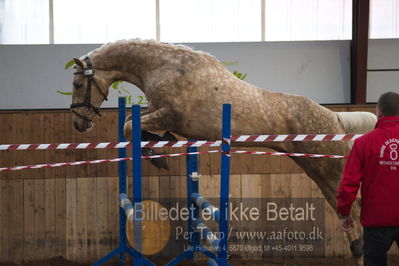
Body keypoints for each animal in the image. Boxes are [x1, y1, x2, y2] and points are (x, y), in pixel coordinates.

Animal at [69, 38, 378, 264]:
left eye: (77, 84)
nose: (79, 124)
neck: (163, 66)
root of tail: (334, 117)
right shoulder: (158, 113)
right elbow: (134, 125)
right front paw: (160, 145)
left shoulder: (169, 114)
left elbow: (128, 127)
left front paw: (157, 159)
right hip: (316, 169)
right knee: (345, 209)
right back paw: (357, 252)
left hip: (328, 168)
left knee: (355, 206)